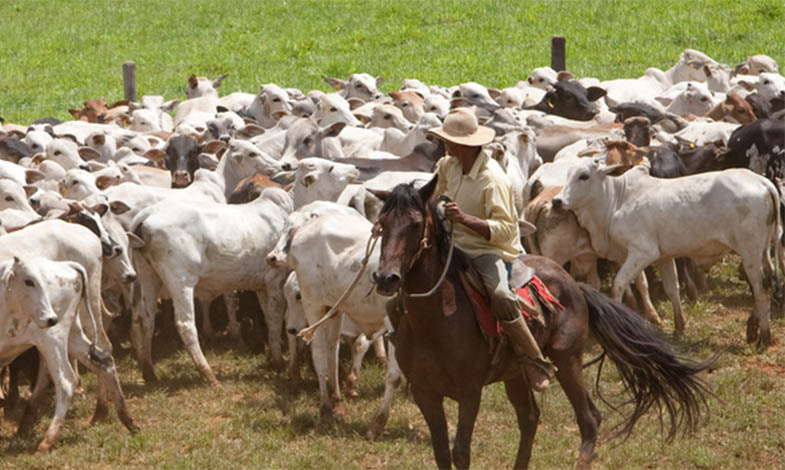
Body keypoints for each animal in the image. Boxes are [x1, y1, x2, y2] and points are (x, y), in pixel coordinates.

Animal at [370, 178, 712, 468]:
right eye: (381, 225)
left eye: (415, 224)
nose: (387, 278)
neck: (435, 322)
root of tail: (575, 285)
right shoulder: (425, 393)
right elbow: (442, 453)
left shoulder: (470, 393)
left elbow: (461, 453)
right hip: (516, 373)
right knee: (530, 417)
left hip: (568, 360)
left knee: (589, 419)